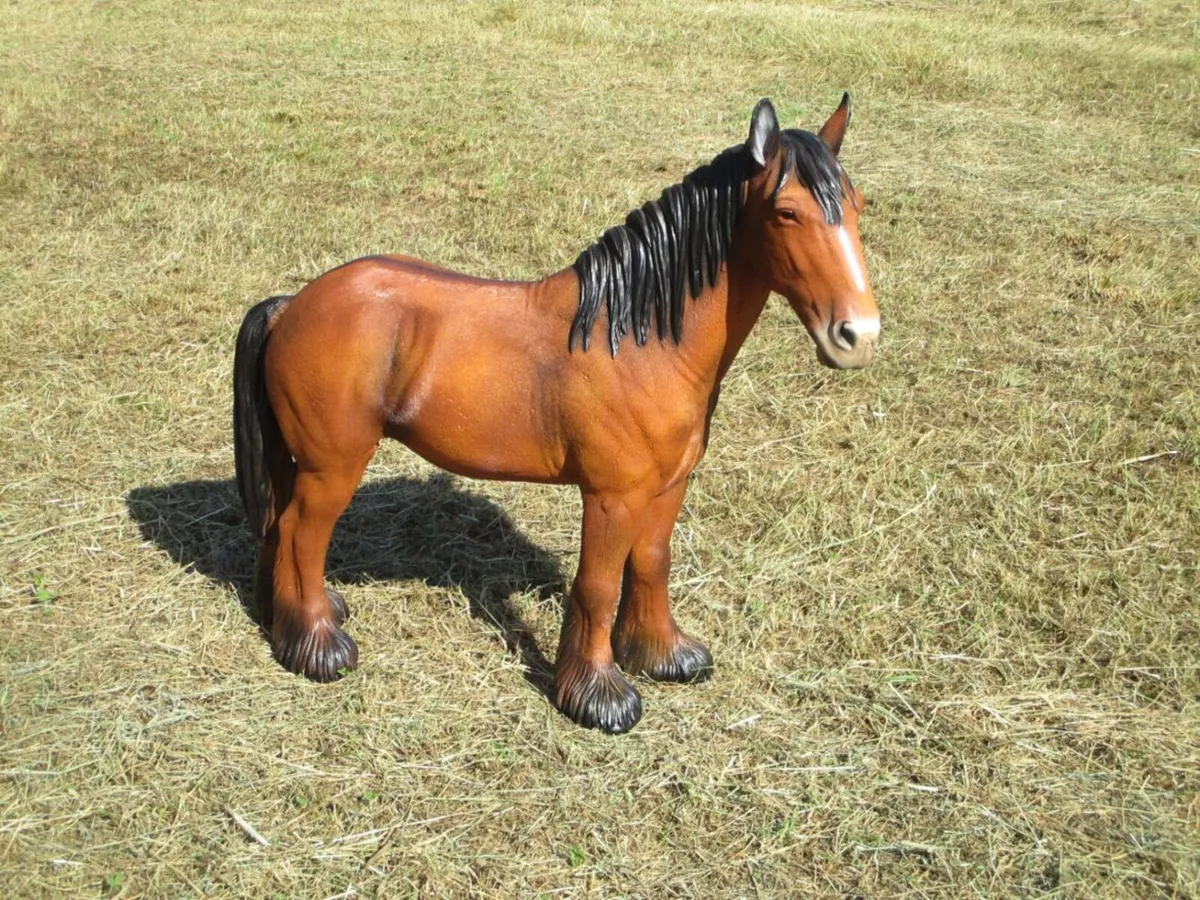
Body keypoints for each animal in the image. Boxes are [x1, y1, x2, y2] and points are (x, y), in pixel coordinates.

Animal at [233, 95, 879, 734]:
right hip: (333, 466)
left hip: (299, 460)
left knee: (279, 527)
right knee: (302, 533)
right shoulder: (612, 497)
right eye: (787, 213)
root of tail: (291, 306)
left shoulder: (668, 486)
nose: (857, 335)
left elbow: (653, 562)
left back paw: (290, 620)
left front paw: (664, 655)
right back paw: (320, 646)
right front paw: (599, 697)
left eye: (856, 205)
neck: (637, 340)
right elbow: (597, 585)